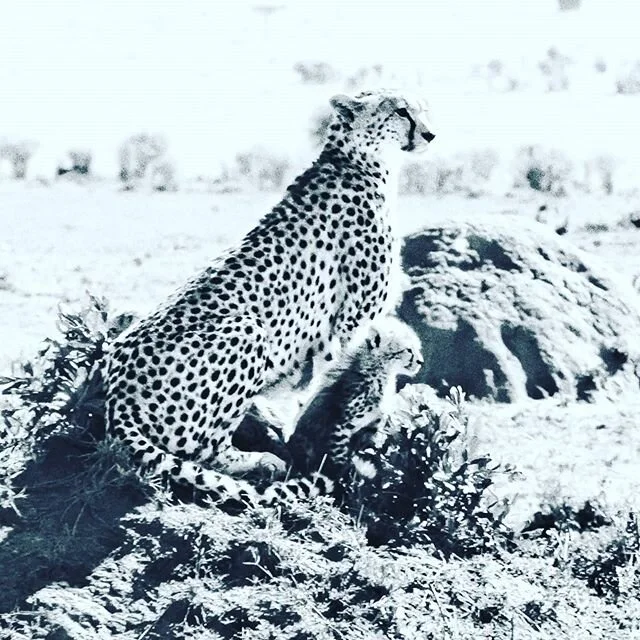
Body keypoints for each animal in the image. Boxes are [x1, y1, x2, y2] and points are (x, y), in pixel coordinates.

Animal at [104, 88, 436, 505]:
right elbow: (334, 380)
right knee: (201, 447)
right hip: (247, 330)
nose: (430, 134)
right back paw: (263, 459)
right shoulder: (352, 322)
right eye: (401, 111)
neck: (359, 161)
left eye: (420, 109)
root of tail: (116, 393)